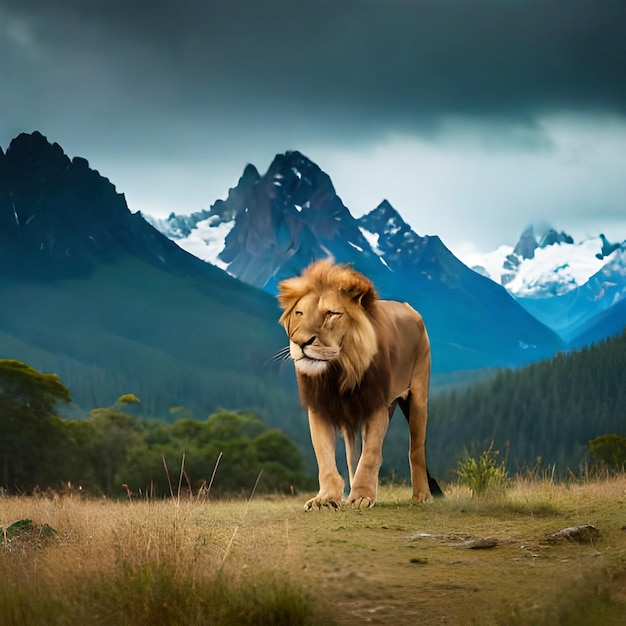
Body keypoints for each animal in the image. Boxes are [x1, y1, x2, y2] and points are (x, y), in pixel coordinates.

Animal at [276, 258, 436, 508]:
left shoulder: (377, 405)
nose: (300, 342)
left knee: (416, 450)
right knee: (353, 457)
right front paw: (325, 498)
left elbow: (370, 454)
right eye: (299, 313)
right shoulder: (319, 407)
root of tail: (408, 307)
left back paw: (422, 496)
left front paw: (361, 496)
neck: (339, 370)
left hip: (418, 393)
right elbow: (325, 457)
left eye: (332, 313)